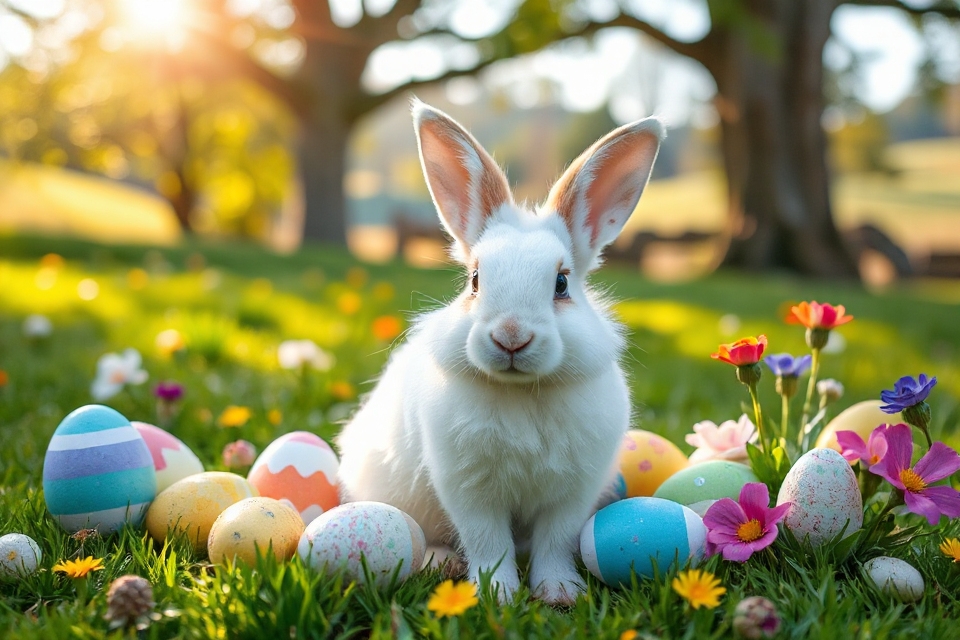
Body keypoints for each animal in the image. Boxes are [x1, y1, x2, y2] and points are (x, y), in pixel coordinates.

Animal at [336, 99, 663, 605]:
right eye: (475, 279)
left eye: (562, 283)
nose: (511, 336)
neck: (522, 391)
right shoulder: (468, 490)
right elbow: (489, 543)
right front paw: (498, 595)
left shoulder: (572, 493)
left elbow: (554, 542)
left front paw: (560, 592)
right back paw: (439, 561)